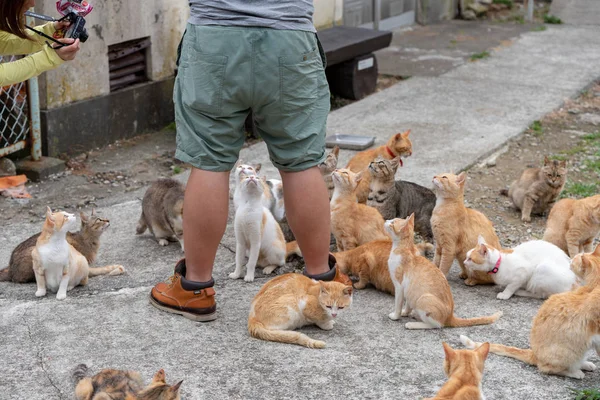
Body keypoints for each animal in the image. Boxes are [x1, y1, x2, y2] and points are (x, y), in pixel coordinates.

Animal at [462, 244, 600, 382]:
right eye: (466, 257)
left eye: (470, 258)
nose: (463, 262)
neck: (499, 263)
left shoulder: (523, 272)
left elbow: (512, 286)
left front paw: (506, 293)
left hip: (540, 271)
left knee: (540, 294)